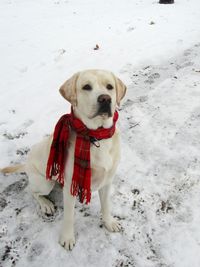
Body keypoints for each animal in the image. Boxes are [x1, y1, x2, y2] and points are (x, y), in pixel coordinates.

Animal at [0, 69, 126, 251]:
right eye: (86, 87)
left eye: (109, 86)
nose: (105, 99)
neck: (95, 136)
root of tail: (26, 163)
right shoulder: (71, 186)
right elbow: (69, 216)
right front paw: (67, 237)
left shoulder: (107, 180)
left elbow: (106, 205)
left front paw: (109, 222)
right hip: (45, 182)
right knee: (33, 192)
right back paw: (46, 204)